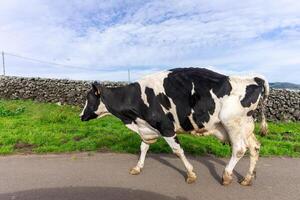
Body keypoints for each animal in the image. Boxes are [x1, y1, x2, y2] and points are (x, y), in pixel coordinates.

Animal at [80, 67, 270, 186]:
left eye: (89, 98)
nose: (81, 116)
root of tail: (252, 78)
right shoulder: (149, 128)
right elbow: (143, 147)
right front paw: (137, 167)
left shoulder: (166, 127)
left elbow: (178, 151)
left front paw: (191, 175)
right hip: (245, 126)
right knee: (255, 147)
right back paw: (247, 179)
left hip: (232, 123)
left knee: (239, 149)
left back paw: (226, 176)